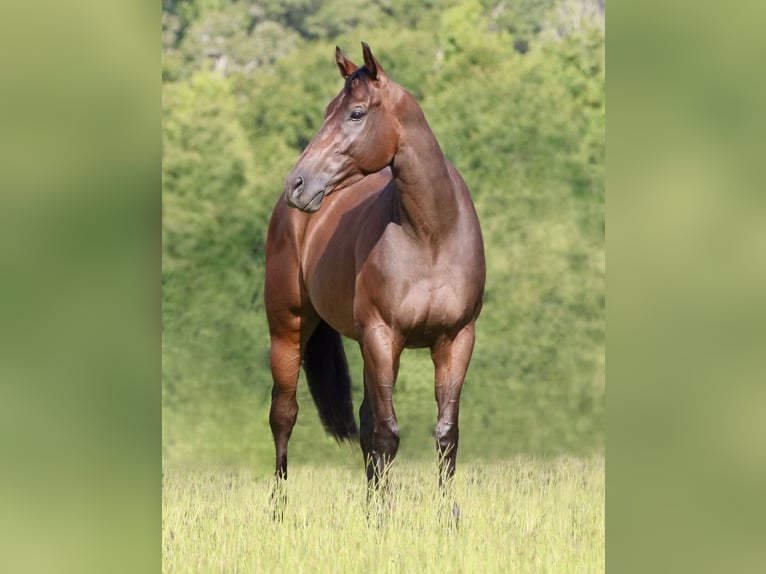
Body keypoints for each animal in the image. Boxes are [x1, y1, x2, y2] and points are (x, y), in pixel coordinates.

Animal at [264, 43, 485, 497]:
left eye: (356, 113)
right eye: (328, 110)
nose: (297, 183)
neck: (431, 235)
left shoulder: (456, 339)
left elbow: (445, 434)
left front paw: (447, 513)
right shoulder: (384, 337)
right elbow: (386, 435)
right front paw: (384, 513)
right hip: (288, 329)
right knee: (284, 415)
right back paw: (277, 506)